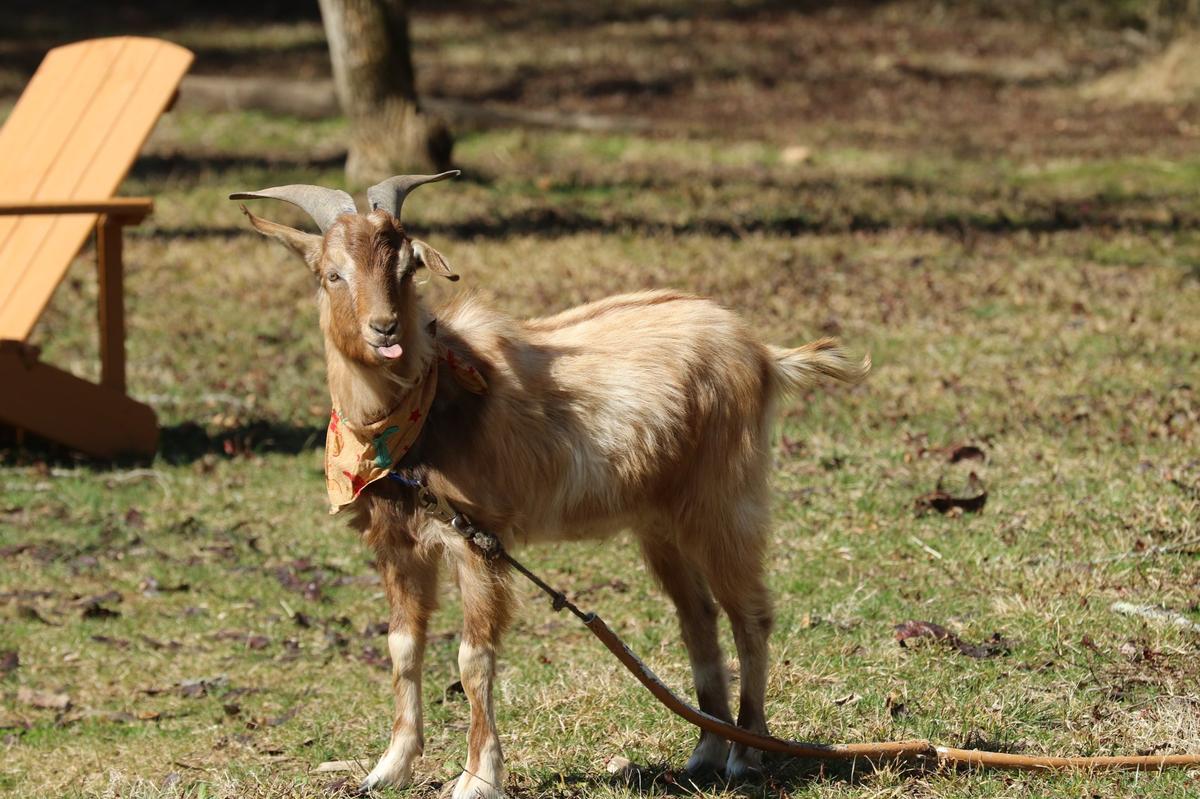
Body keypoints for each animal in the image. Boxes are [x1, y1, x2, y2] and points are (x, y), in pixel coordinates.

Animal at [231, 172, 869, 798]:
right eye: (331, 274)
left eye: (406, 267)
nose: (384, 329)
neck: (420, 418)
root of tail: (763, 353)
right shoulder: (398, 544)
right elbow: (402, 648)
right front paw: (388, 769)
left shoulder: (478, 540)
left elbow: (472, 659)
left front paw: (477, 779)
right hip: (661, 523)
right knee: (699, 617)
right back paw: (705, 752)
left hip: (723, 501)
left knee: (750, 615)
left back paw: (746, 753)